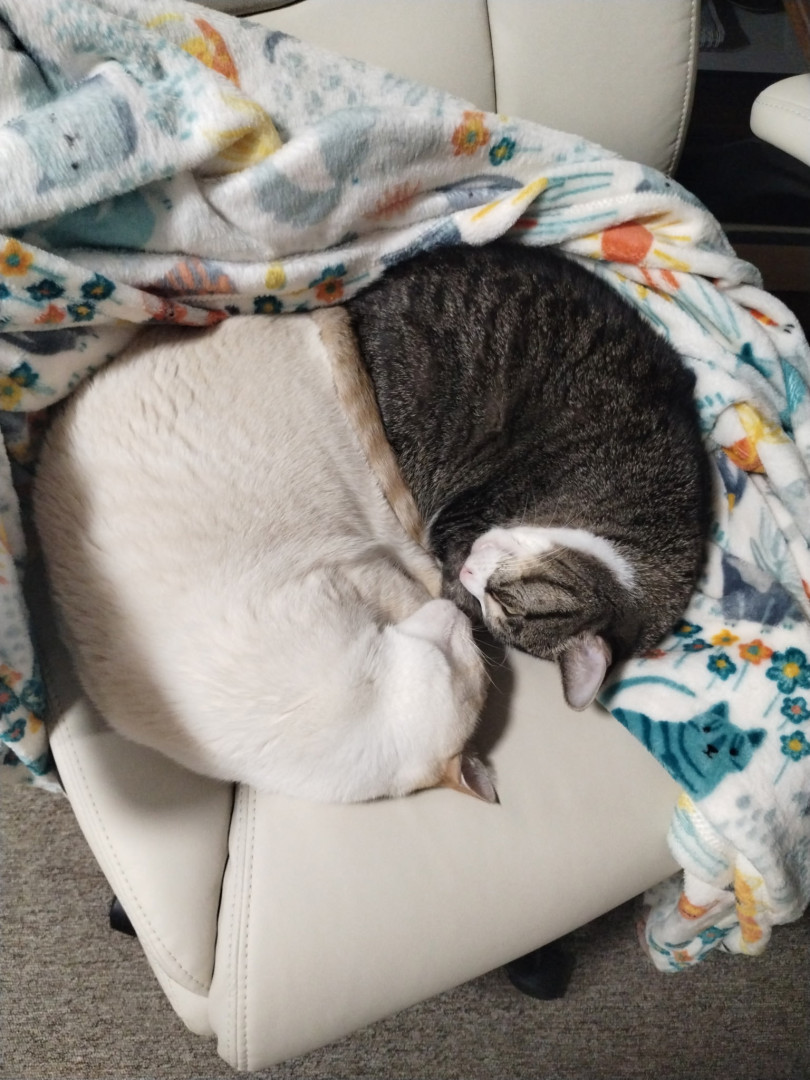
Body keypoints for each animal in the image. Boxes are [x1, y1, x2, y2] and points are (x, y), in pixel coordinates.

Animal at [33, 308, 496, 804]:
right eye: (465, 654)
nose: (463, 621)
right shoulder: (352, 571)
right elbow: (408, 590)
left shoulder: (349, 568)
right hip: (360, 487)